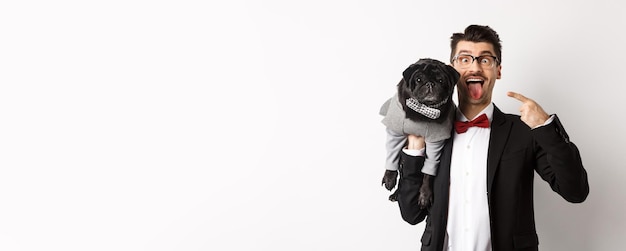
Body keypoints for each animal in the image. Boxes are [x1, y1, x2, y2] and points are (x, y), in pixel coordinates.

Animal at [376, 58, 458, 208]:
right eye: (418, 79)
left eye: (441, 80)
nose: (430, 83)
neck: (423, 110)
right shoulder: (395, 130)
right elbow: (391, 154)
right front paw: (389, 178)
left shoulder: (435, 141)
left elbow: (428, 173)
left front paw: (425, 195)